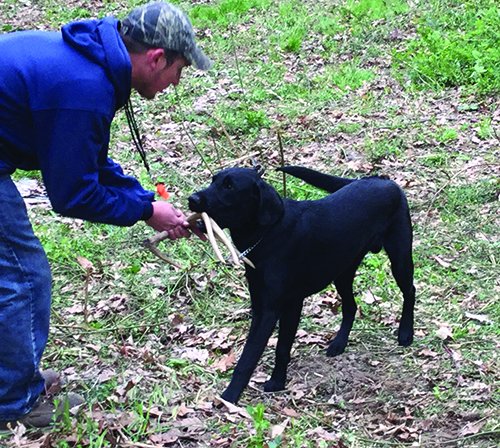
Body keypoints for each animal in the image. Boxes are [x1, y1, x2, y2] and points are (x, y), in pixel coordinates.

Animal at [188, 166, 414, 404]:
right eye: (214, 180)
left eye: (229, 186)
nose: (192, 199)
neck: (268, 234)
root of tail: (383, 180)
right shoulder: (267, 304)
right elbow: (280, 347)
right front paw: (277, 382)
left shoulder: (275, 309)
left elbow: (252, 356)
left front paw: (230, 397)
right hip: (342, 273)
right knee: (351, 306)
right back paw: (338, 343)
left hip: (400, 259)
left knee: (410, 291)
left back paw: (406, 332)